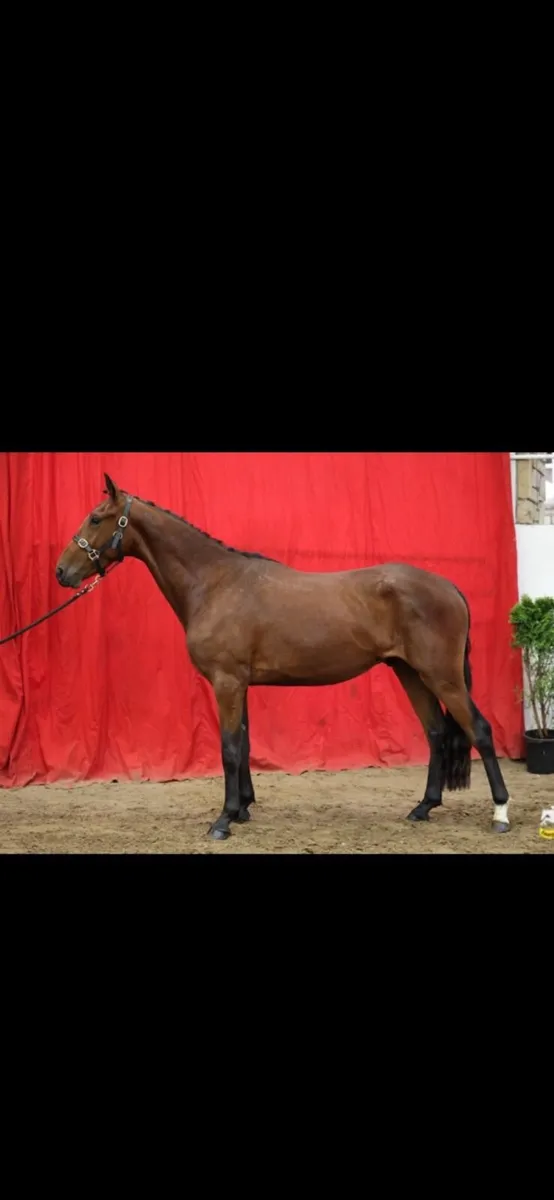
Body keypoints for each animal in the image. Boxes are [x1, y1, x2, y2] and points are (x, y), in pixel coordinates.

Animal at [55, 473, 513, 840]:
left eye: (95, 518)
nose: (62, 572)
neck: (215, 583)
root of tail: (448, 587)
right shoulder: (238, 683)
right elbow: (242, 743)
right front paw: (242, 809)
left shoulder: (227, 681)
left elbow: (229, 748)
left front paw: (223, 820)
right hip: (411, 673)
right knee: (436, 733)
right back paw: (423, 808)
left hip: (442, 676)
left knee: (479, 730)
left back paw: (500, 814)